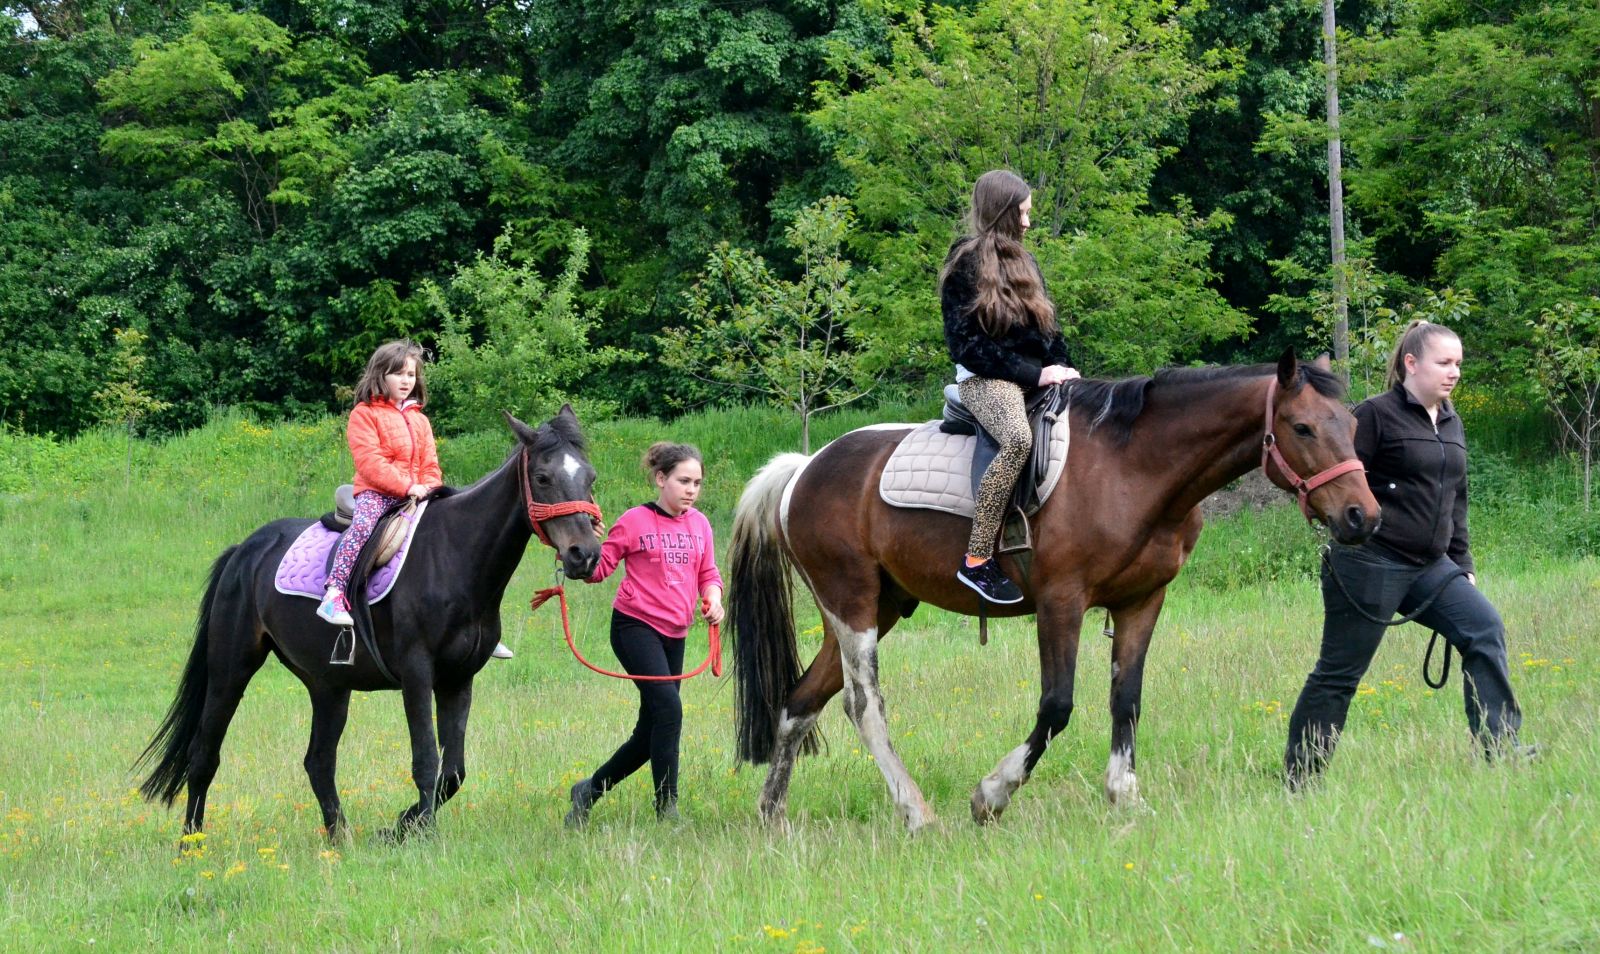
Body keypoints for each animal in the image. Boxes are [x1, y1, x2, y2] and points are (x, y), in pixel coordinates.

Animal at [732, 353, 1382, 832]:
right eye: (1301, 428)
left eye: (1351, 426)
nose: (1362, 516)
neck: (1132, 467)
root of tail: (803, 468)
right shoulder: (1060, 603)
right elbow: (1057, 705)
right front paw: (992, 795)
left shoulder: (1142, 602)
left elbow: (1126, 700)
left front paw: (1124, 795)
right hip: (855, 608)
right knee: (863, 704)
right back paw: (915, 812)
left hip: (872, 609)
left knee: (800, 701)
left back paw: (773, 816)